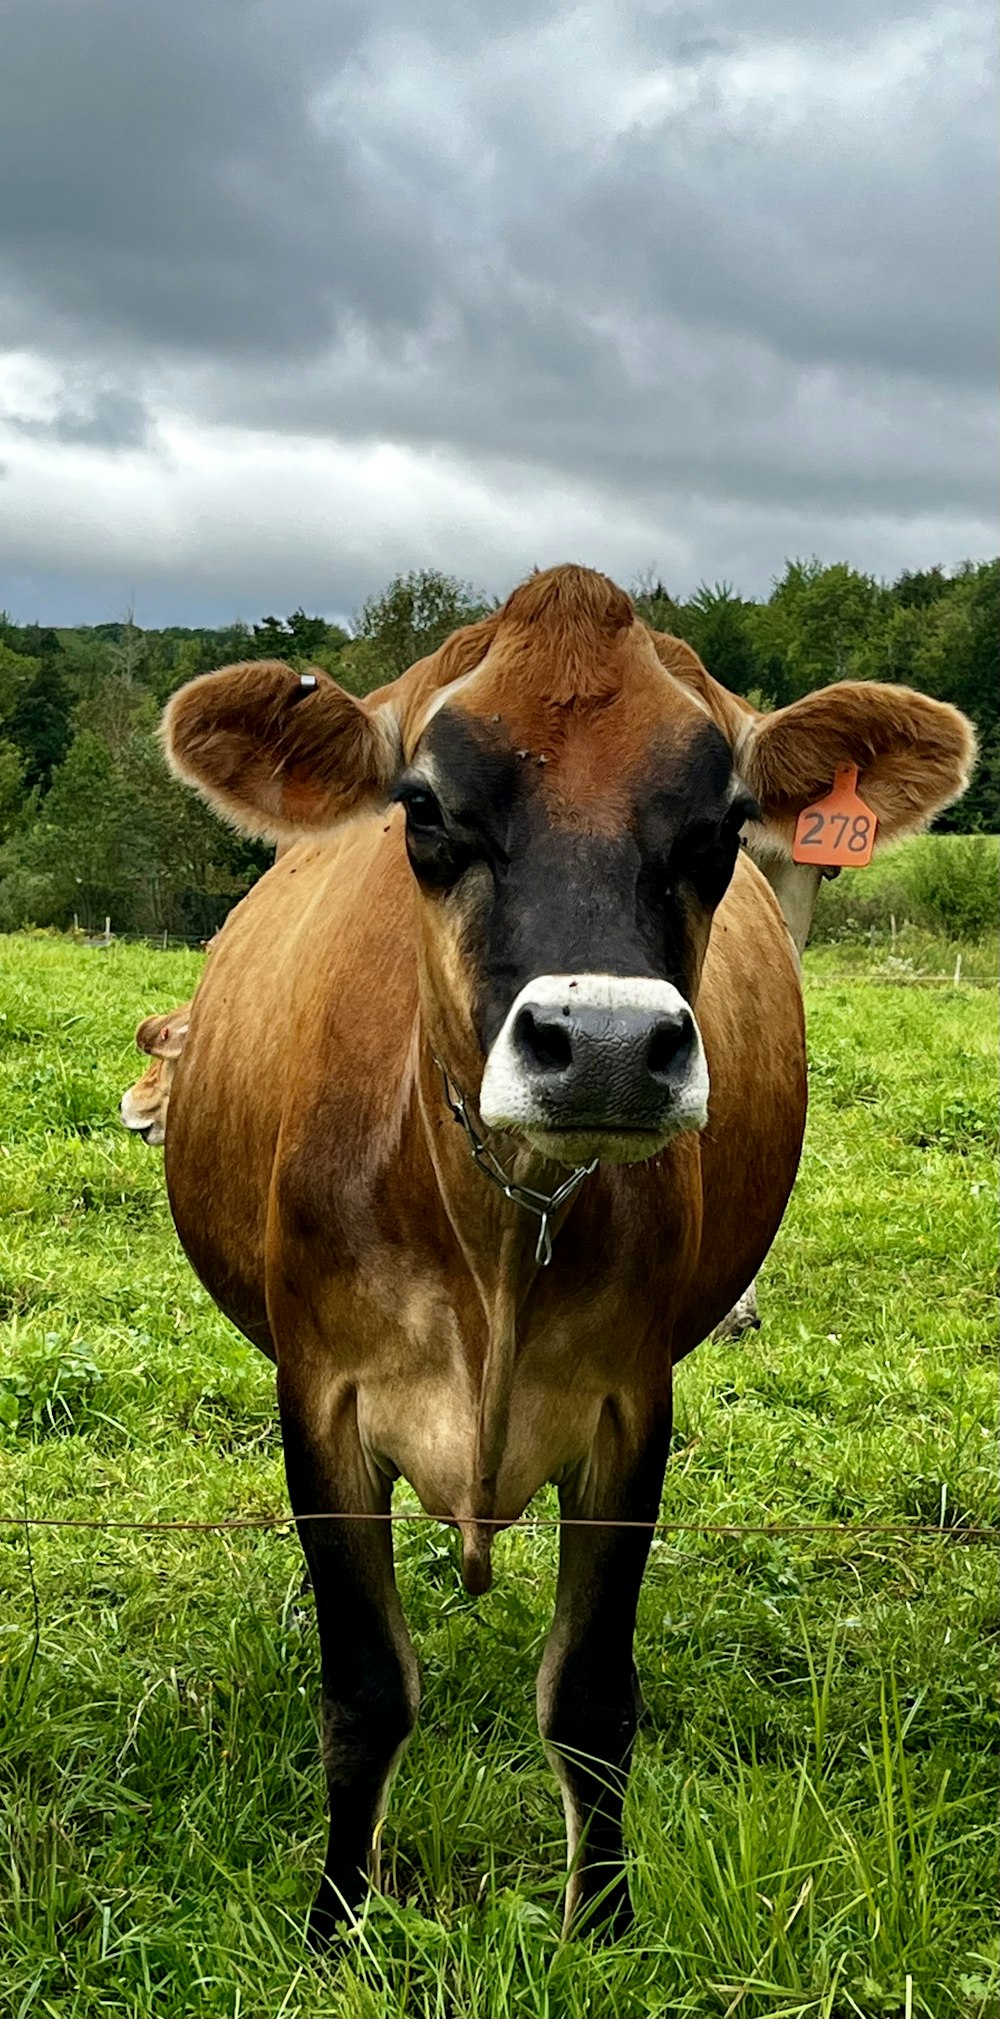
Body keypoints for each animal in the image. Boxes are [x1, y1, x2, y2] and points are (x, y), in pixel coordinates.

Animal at [162, 565, 969, 1938]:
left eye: (723, 823)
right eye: (423, 808)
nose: (601, 1045)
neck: (499, 1223)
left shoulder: (630, 1405)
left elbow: (589, 1694)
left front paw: (603, 1925)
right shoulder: (317, 1396)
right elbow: (365, 1686)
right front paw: (336, 1921)